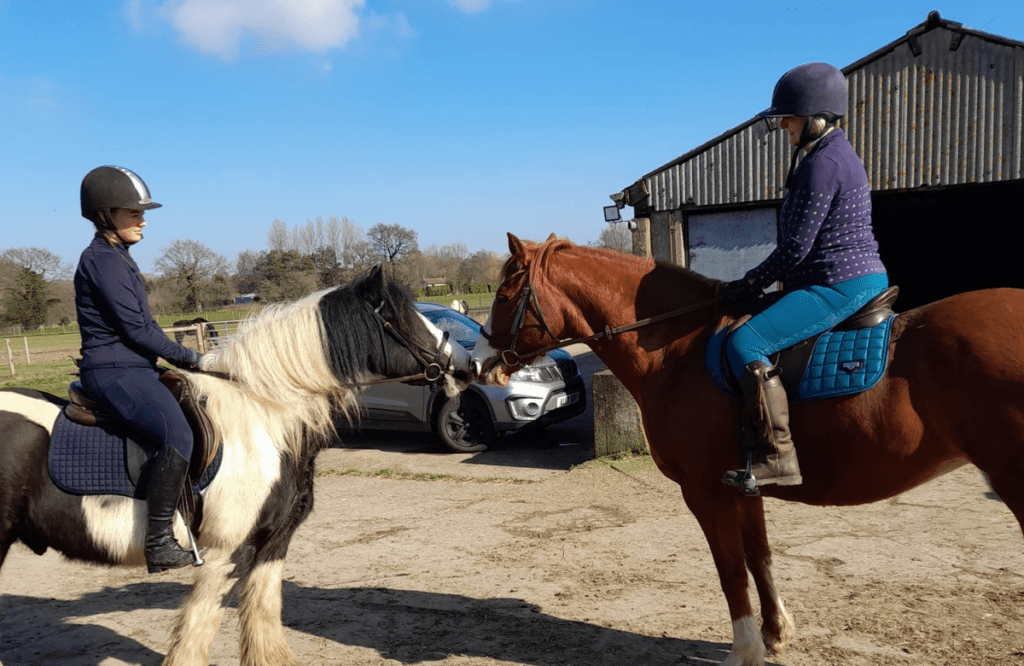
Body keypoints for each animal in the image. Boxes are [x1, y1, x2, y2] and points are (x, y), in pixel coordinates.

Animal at [0, 264, 471, 663]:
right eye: (403, 317)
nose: (466, 367)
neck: (265, 415)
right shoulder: (224, 549)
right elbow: (198, 630)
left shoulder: (274, 540)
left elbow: (263, 612)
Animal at [471, 233, 1024, 663]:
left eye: (505, 291)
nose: (476, 361)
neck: (677, 349)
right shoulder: (744, 485)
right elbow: (759, 557)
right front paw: (774, 635)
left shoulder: (706, 492)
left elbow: (731, 570)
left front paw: (745, 651)